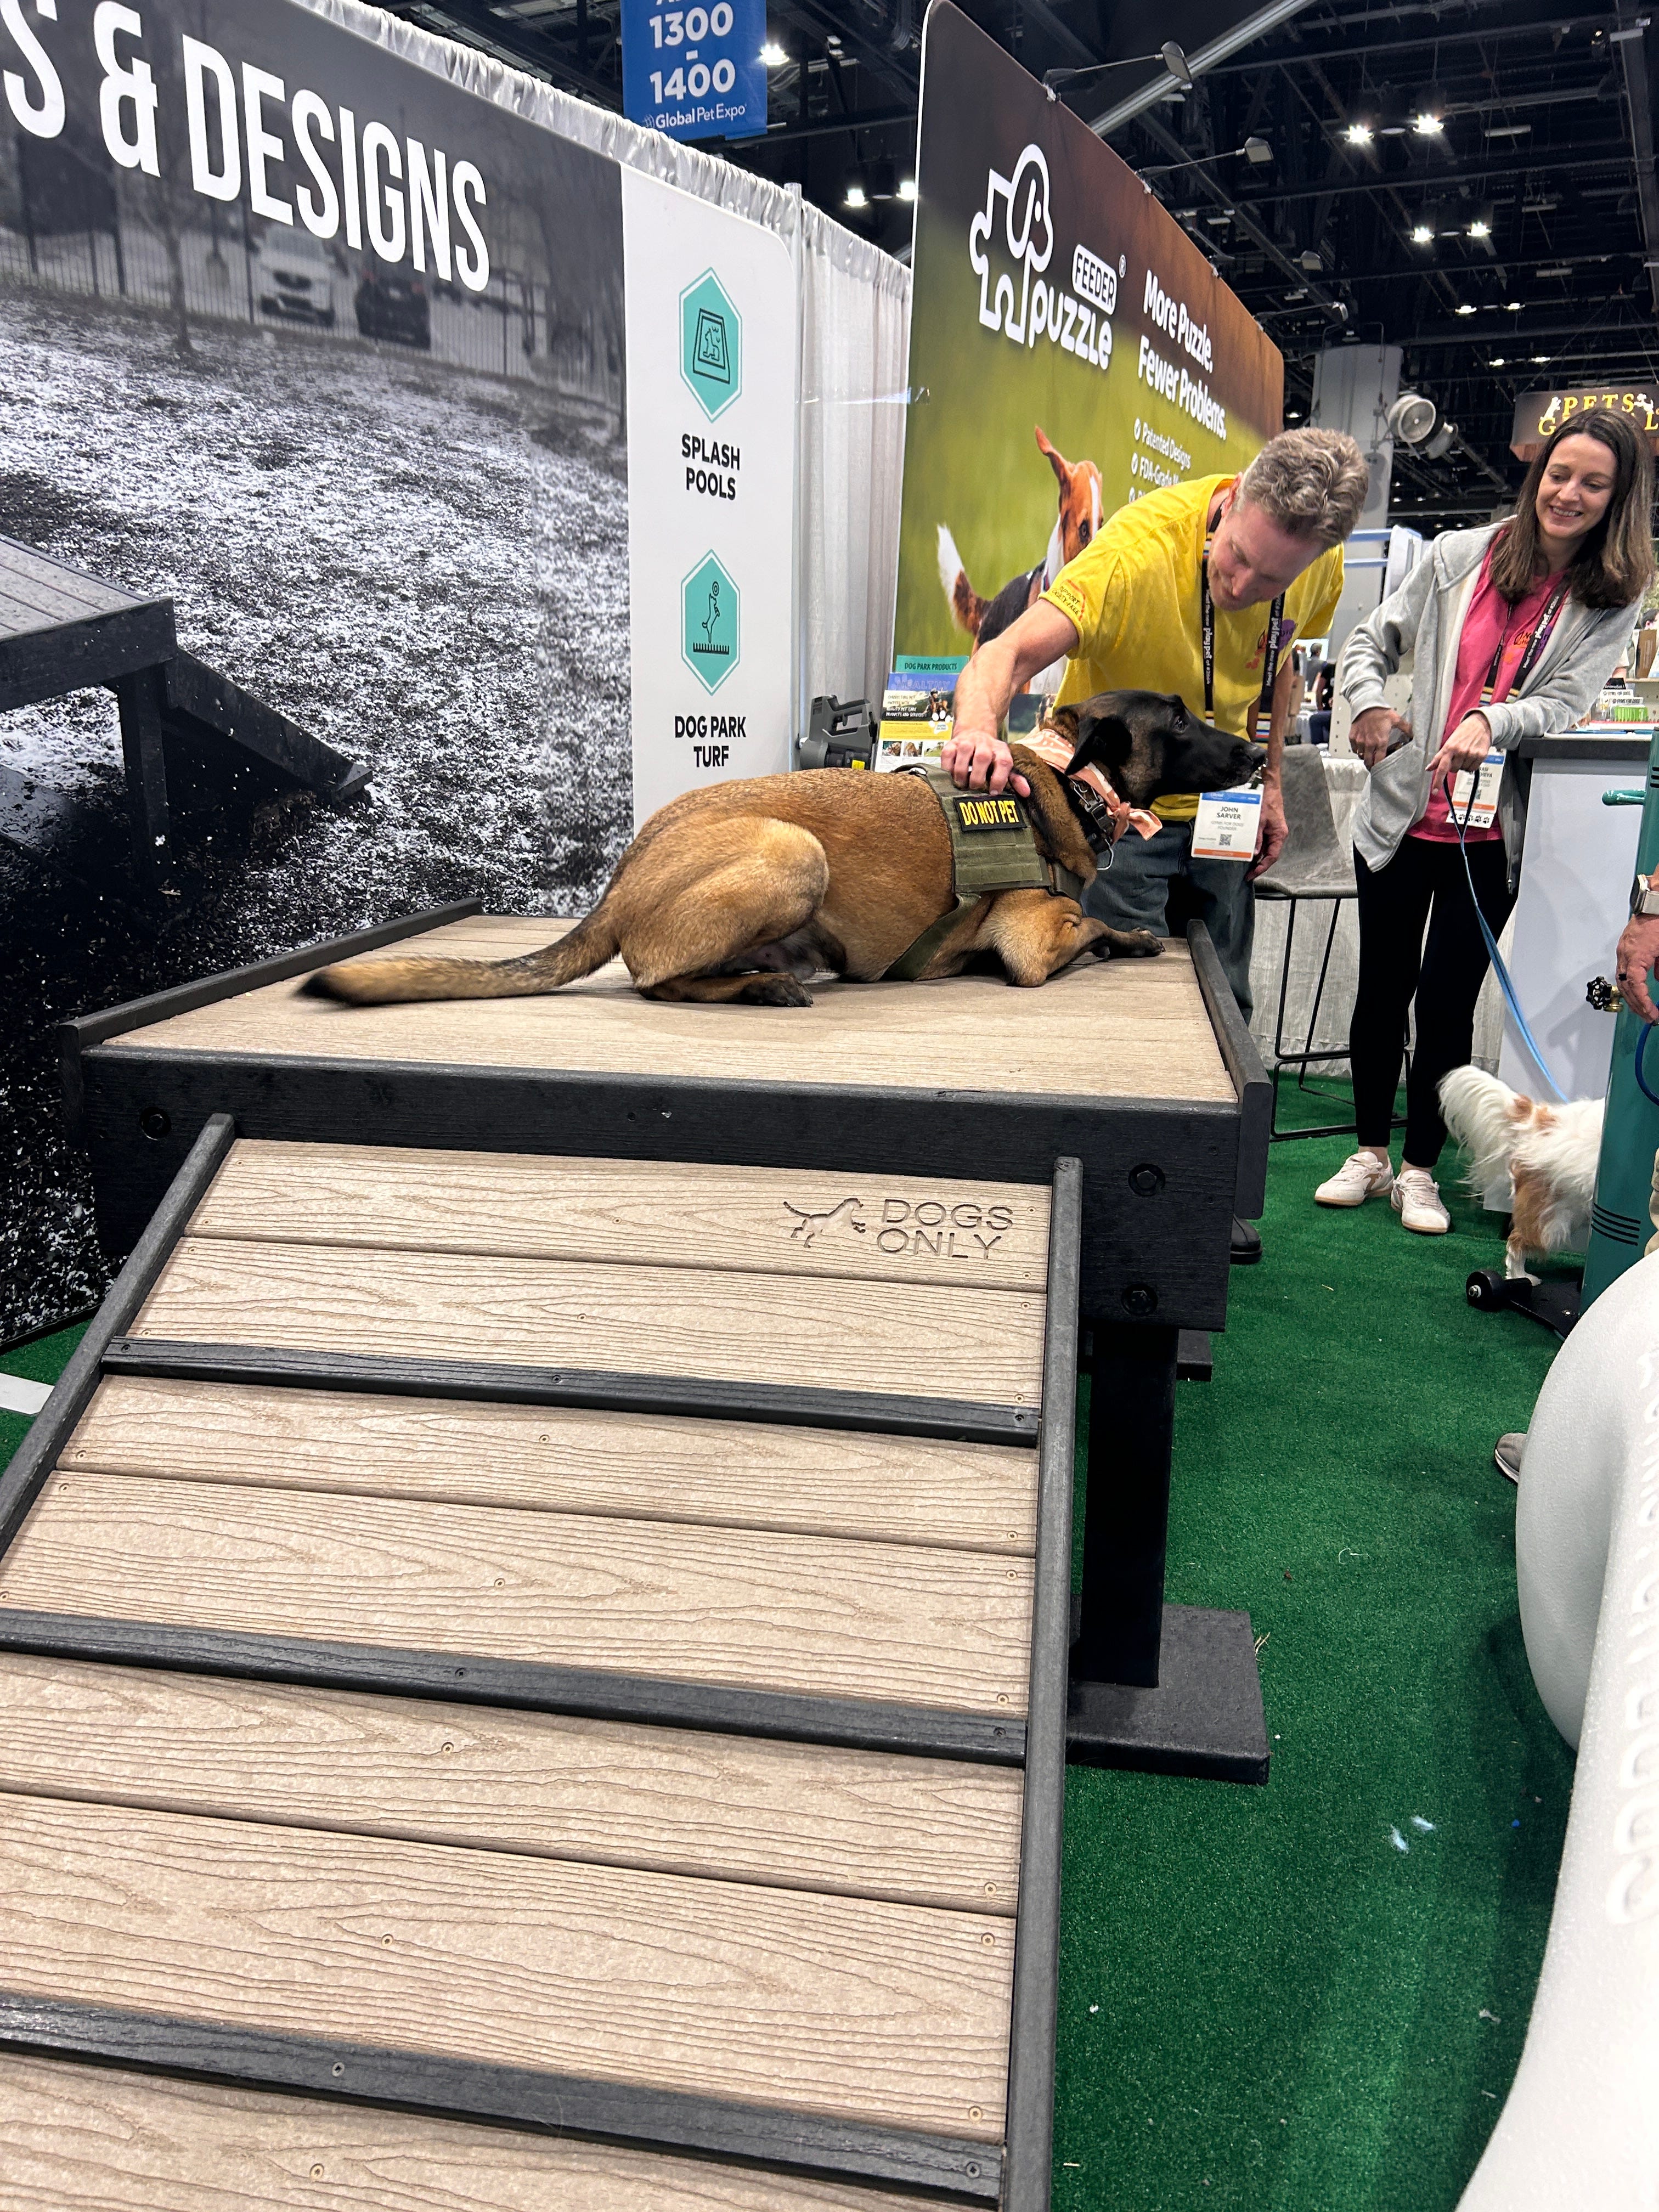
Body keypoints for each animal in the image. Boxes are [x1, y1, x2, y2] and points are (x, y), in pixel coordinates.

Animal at [308, 690, 1263, 1011]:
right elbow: (1093, 927)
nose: (1258, 754)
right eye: (1180, 720)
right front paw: (1134, 940)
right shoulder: (1033, 941)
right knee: (657, 981)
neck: (1067, 779)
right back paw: (759, 987)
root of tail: (621, 878)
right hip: (795, 852)